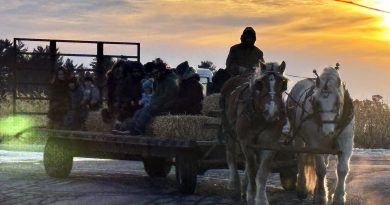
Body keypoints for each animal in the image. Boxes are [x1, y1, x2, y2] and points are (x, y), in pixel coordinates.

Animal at [284, 64, 354, 205]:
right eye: (316, 102)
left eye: (337, 102)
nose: (328, 131)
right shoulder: (315, 144)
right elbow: (321, 170)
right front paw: (321, 196)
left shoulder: (346, 140)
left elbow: (343, 169)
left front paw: (339, 197)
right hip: (298, 136)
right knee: (301, 159)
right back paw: (302, 188)